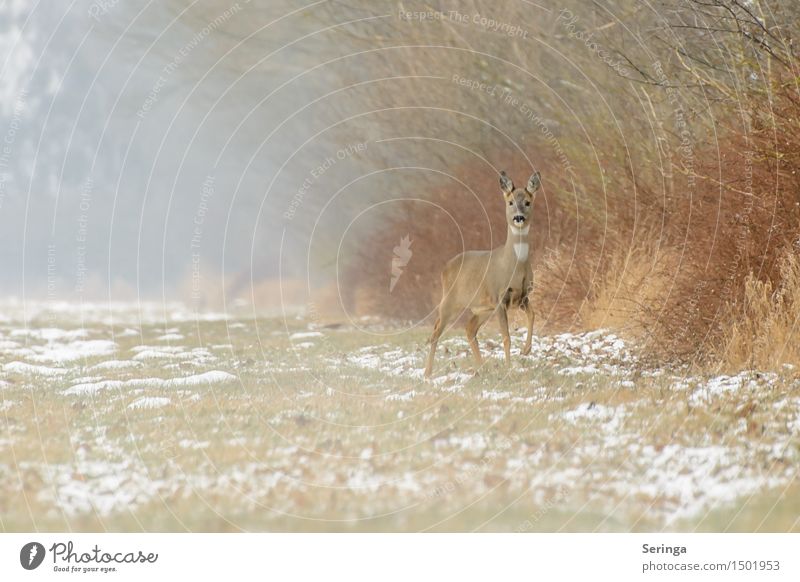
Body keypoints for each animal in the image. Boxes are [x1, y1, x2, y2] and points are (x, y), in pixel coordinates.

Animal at [422, 170, 540, 378]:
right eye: (510, 202)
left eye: (527, 202)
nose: (518, 218)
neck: (515, 266)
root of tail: (445, 268)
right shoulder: (499, 296)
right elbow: (506, 336)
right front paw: (509, 368)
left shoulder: (523, 296)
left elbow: (533, 315)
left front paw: (526, 350)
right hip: (450, 302)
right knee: (435, 332)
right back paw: (428, 373)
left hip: (483, 308)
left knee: (469, 329)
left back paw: (482, 368)